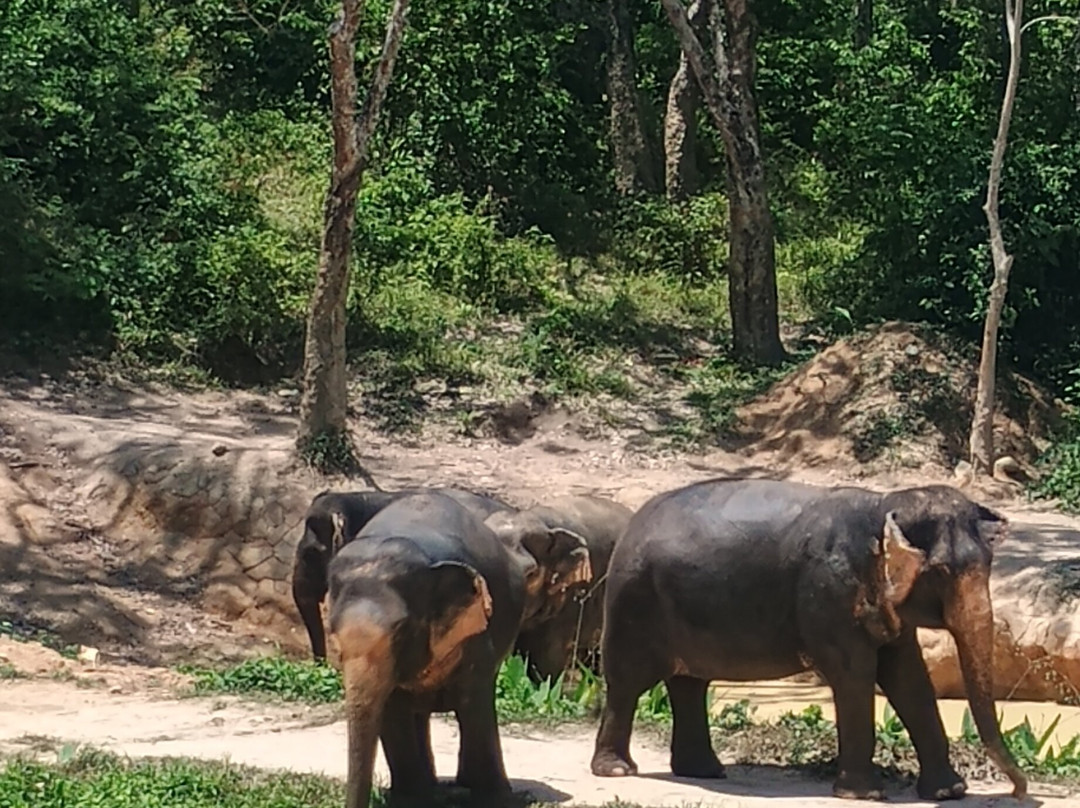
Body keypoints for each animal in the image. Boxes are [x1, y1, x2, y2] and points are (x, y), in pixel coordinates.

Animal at [327, 490, 591, 808]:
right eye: (333, 634)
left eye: (402, 630)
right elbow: (392, 706)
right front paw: (411, 799)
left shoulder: (477, 631)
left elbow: (473, 700)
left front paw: (497, 799)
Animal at [590, 478, 1027, 802]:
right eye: (940, 572)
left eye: (988, 564)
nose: (1018, 792)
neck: (883, 504)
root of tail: (631, 523)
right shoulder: (828, 592)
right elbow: (855, 674)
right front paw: (864, 795)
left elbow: (909, 679)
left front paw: (948, 793)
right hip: (631, 599)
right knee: (627, 682)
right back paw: (616, 770)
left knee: (689, 684)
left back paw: (706, 772)